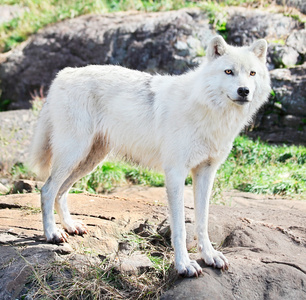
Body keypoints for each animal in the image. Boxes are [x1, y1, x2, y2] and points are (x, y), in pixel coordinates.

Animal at [30, 36, 270, 278]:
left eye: (252, 73)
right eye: (228, 71)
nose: (244, 91)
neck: (210, 112)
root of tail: (64, 73)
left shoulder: (206, 171)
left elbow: (202, 221)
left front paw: (210, 256)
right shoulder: (175, 173)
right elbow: (180, 227)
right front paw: (184, 265)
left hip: (89, 161)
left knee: (61, 192)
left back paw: (70, 226)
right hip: (74, 154)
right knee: (47, 190)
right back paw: (52, 234)